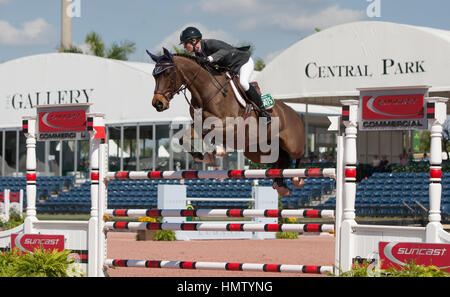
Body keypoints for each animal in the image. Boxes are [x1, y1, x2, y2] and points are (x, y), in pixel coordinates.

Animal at [148, 47, 306, 195]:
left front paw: (216, 151)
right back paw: (281, 186)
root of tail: (294, 113)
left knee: (298, 156)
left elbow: (208, 131)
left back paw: (296, 179)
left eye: (167, 74)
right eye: (154, 76)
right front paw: (202, 156)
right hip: (259, 151)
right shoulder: (199, 125)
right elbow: (184, 138)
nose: (158, 103)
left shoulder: (231, 125)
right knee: (281, 159)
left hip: (293, 145)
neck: (207, 92)